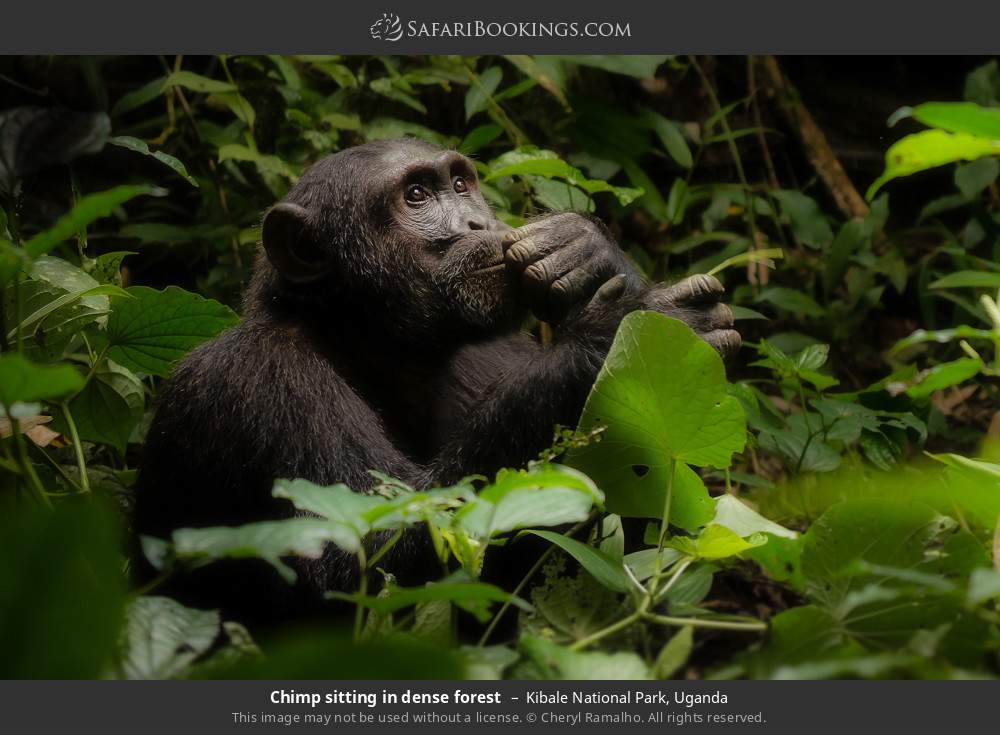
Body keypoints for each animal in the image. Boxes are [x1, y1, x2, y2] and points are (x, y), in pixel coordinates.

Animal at [133, 138, 740, 620]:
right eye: (417, 196)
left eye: (460, 184)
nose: (478, 223)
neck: (374, 342)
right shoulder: (261, 379)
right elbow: (368, 551)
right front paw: (627, 330)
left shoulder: (497, 351)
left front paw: (586, 250)